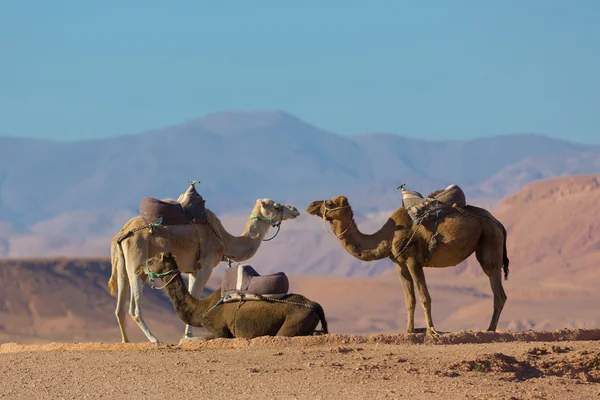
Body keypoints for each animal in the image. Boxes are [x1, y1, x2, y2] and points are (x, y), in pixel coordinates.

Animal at [108, 199, 300, 344]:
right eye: (277, 206)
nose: (295, 209)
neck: (224, 240)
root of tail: (122, 233)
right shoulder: (206, 266)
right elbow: (194, 295)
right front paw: (186, 338)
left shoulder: (194, 269)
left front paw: (187, 336)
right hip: (137, 260)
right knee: (134, 308)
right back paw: (155, 340)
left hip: (122, 264)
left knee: (120, 307)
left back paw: (126, 341)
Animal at [137, 252, 328, 340]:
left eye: (152, 261)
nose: (139, 267)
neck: (202, 309)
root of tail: (315, 305)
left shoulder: (218, 330)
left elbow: (187, 340)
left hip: (291, 324)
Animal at [308, 192, 508, 336]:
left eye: (330, 203)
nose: (311, 205)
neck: (388, 236)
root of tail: (498, 222)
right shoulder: (400, 264)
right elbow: (409, 299)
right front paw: (409, 331)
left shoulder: (413, 260)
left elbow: (424, 296)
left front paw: (430, 331)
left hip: (490, 240)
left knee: (496, 286)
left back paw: (490, 329)